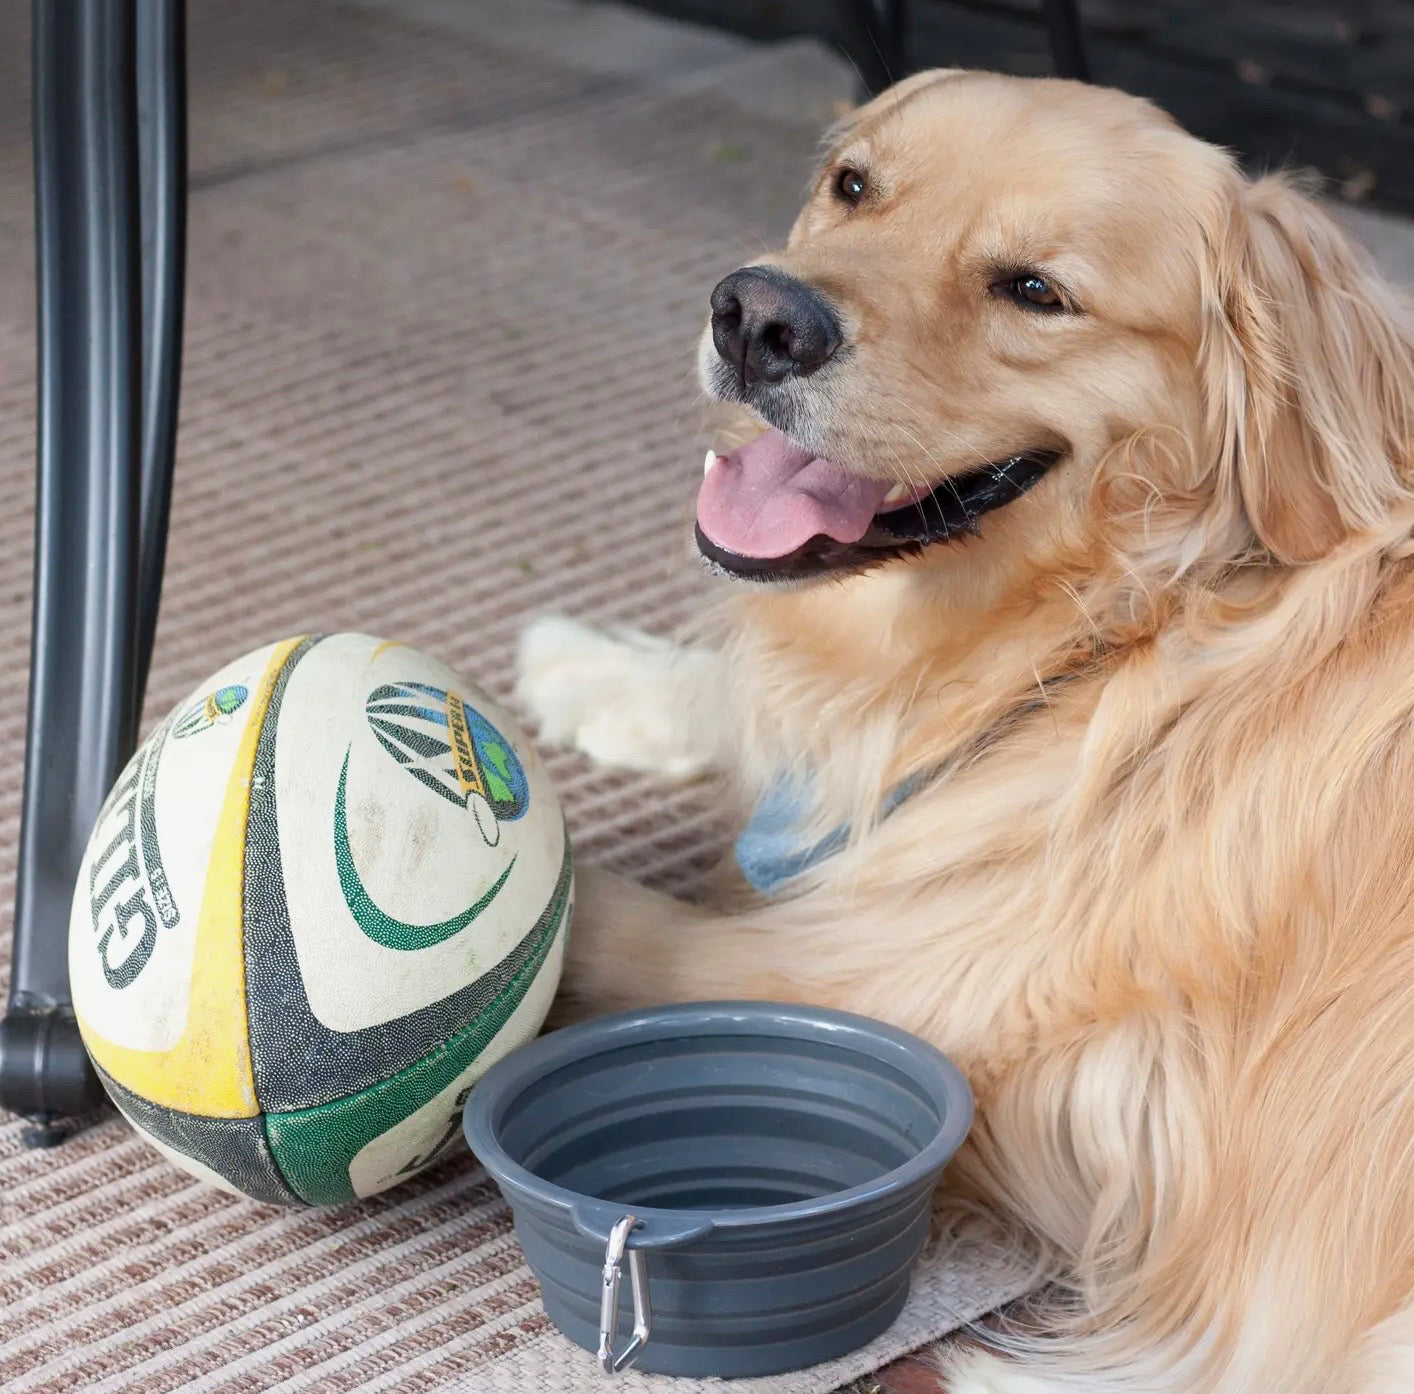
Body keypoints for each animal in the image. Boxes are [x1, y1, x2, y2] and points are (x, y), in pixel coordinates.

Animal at [517, 73, 1414, 1391]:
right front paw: (587, 666)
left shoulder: (899, 985)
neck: (1117, 632)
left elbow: (593, 917)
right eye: (852, 185)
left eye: (1034, 290)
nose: (757, 317)